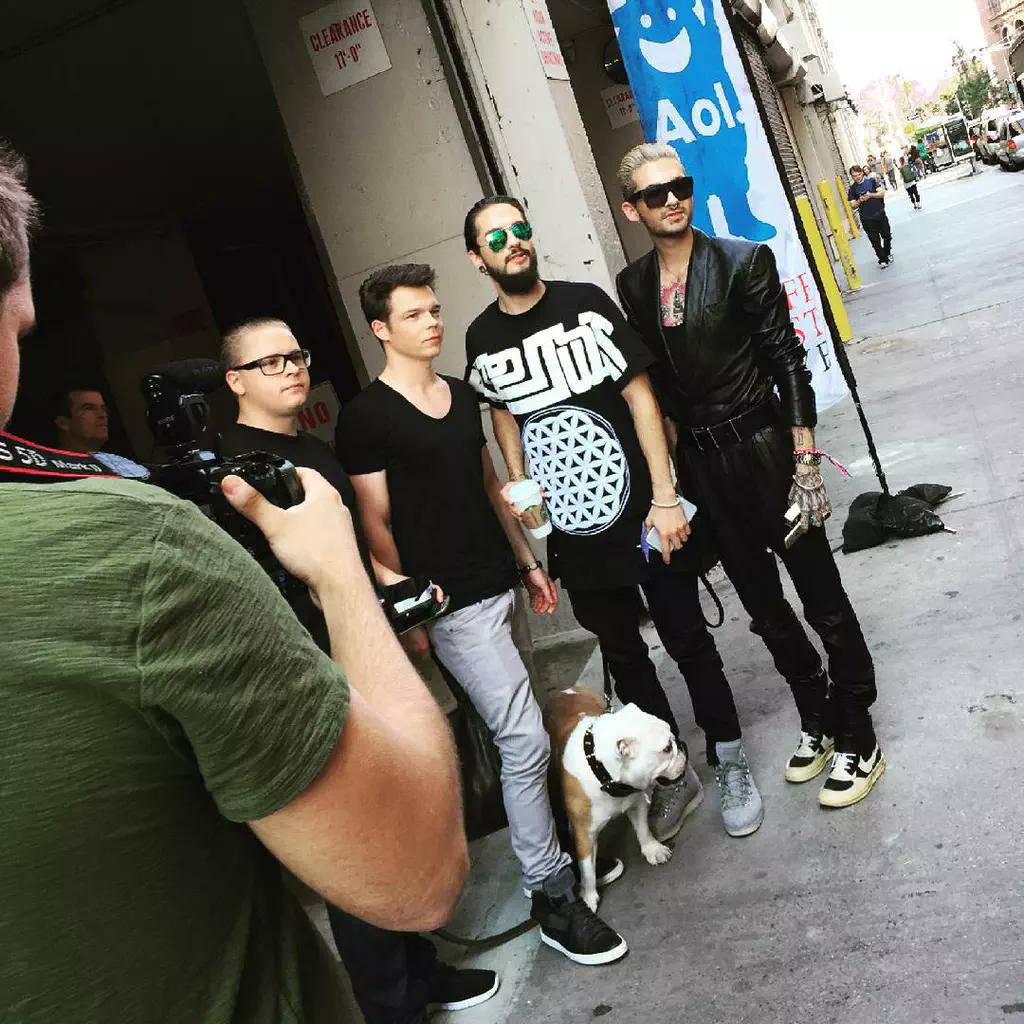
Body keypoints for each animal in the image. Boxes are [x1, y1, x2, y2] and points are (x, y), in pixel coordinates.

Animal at [544, 687, 688, 912]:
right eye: (666, 749)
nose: (681, 745)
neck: (603, 771)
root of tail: (561, 691)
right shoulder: (584, 834)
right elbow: (587, 870)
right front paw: (588, 897)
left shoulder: (636, 803)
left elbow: (643, 829)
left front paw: (652, 849)